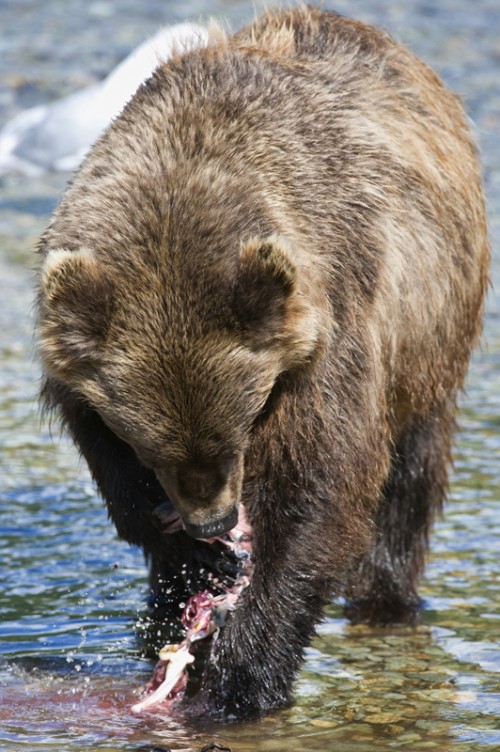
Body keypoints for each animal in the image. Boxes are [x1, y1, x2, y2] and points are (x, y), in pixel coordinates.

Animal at [35, 7, 488, 724]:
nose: (214, 522)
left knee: (410, 477)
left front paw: (243, 674)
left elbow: (319, 496)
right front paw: (188, 565)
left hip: (431, 333)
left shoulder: (328, 340)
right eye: (154, 449)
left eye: (235, 432)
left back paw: (386, 598)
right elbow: (118, 480)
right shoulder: (81, 378)